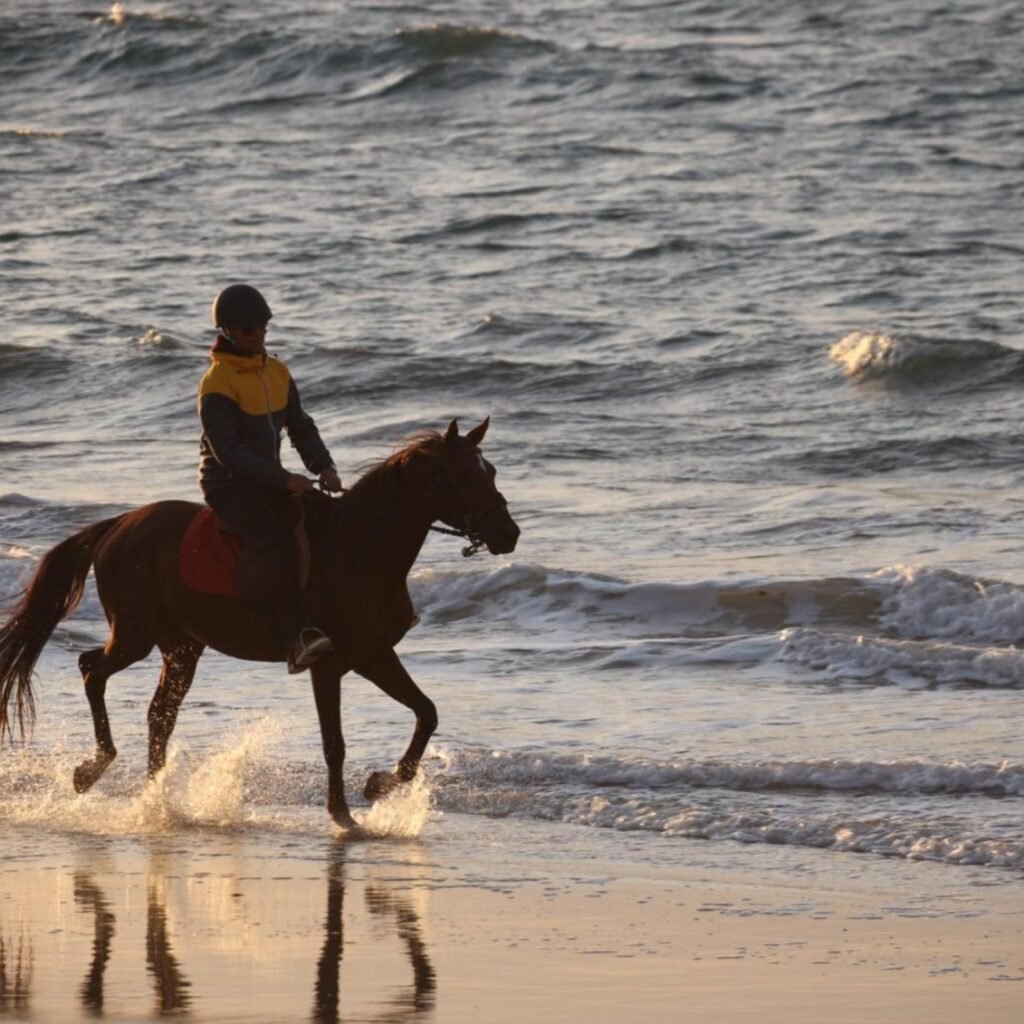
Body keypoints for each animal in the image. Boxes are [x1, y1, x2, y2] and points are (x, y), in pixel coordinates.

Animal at [0, 418, 519, 830]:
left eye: (490, 471)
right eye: (460, 475)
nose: (507, 534)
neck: (360, 547)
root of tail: (120, 523)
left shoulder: (373, 655)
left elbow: (427, 713)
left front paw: (380, 784)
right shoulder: (327, 664)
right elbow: (335, 742)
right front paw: (343, 814)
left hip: (181, 648)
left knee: (158, 716)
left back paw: (156, 801)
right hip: (135, 635)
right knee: (93, 669)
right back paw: (95, 769)